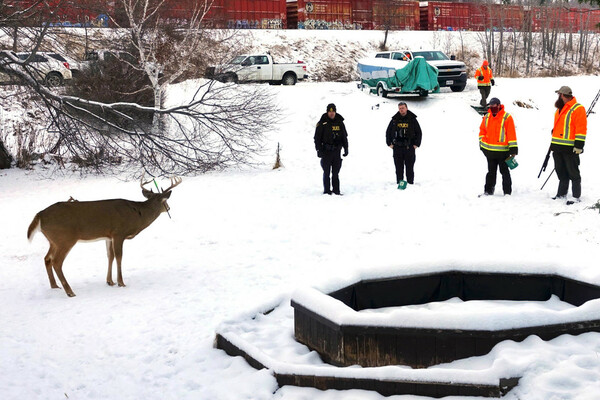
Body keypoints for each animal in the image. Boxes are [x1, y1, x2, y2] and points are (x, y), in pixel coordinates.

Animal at [26, 177, 180, 296]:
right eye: (165, 201)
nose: (169, 208)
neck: (137, 215)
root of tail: (39, 215)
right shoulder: (119, 232)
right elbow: (119, 256)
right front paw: (121, 282)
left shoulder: (108, 236)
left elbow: (110, 256)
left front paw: (110, 281)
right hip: (65, 238)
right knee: (56, 261)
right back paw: (70, 292)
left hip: (53, 240)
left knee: (47, 258)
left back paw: (54, 286)